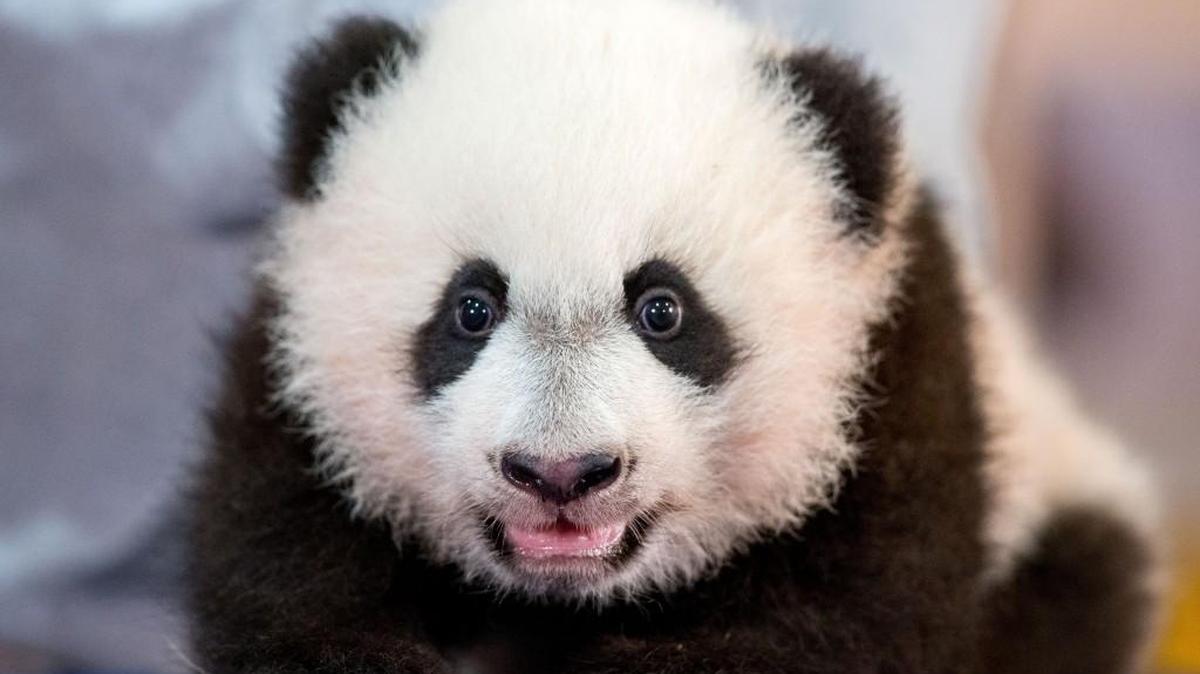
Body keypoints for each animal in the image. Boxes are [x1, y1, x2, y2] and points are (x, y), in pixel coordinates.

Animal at [187, 1, 1164, 672]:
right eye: (471, 308)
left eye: (665, 310)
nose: (561, 474)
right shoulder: (292, 383)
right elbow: (282, 562)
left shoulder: (899, 377)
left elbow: (844, 614)